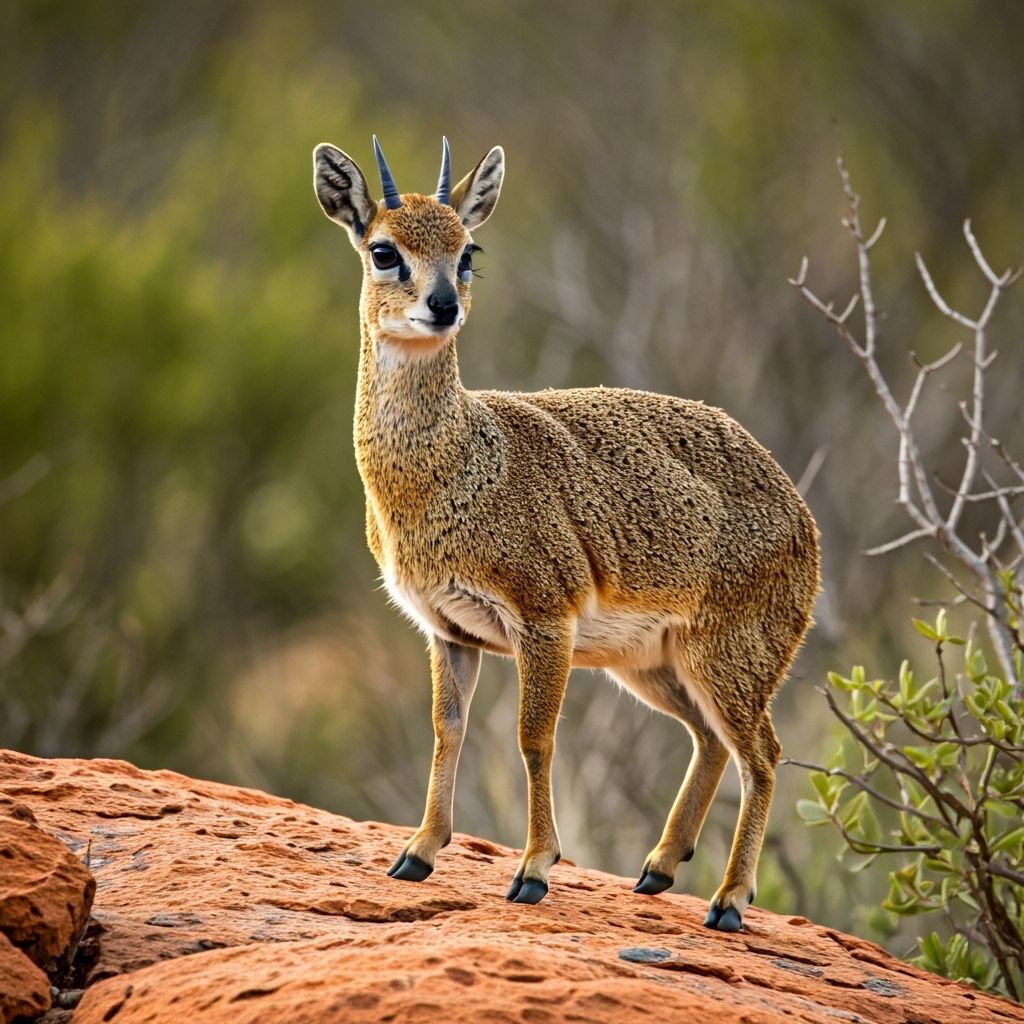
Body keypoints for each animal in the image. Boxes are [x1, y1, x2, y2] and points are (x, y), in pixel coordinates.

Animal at [312, 136, 819, 930]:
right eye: (383, 250)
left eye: (467, 249)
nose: (443, 305)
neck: (452, 469)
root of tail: (803, 515)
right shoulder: (447, 630)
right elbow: (448, 731)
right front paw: (417, 852)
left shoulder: (542, 619)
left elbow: (533, 737)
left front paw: (533, 869)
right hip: (653, 666)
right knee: (711, 742)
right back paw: (657, 869)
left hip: (729, 658)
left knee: (764, 752)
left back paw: (730, 901)